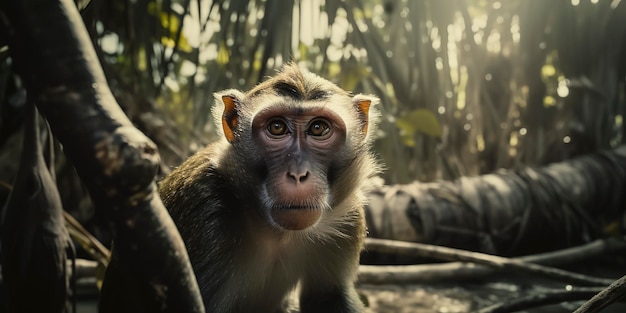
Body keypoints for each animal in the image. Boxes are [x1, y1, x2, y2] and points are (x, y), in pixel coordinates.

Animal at [158, 64, 378, 312]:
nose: (298, 174)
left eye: (319, 128)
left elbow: (329, 296)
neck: (276, 233)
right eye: (277, 127)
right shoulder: (205, 207)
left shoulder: (349, 217)